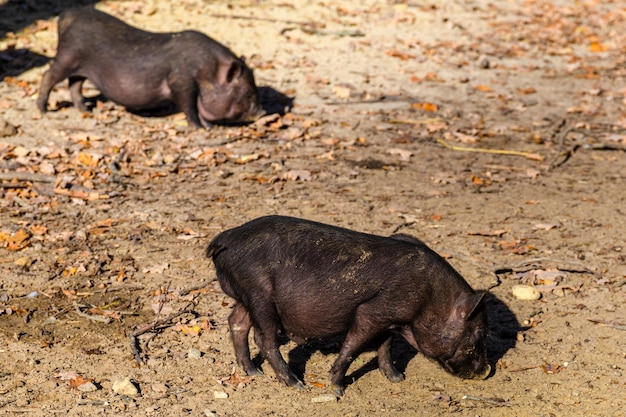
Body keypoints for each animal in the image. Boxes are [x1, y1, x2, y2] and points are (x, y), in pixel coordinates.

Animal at [36, 8, 260, 127]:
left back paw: (86, 110)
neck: (207, 71)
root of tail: (68, 15)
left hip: (80, 66)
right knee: (49, 76)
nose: (263, 112)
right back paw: (43, 110)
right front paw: (199, 128)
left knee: (74, 83)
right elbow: (189, 107)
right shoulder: (181, 82)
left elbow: (197, 108)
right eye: (248, 93)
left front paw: (209, 127)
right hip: (66, 57)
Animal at [207, 216, 490, 394]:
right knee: (264, 338)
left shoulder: (389, 321)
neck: (430, 298)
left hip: (247, 295)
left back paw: (253, 371)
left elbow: (385, 347)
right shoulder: (372, 312)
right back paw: (296, 384)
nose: (486, 371)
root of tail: (227, 237)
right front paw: (337, 388)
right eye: (478, 334)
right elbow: (353, 346)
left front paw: (397, 379)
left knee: (237, 322)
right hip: (259, 294)